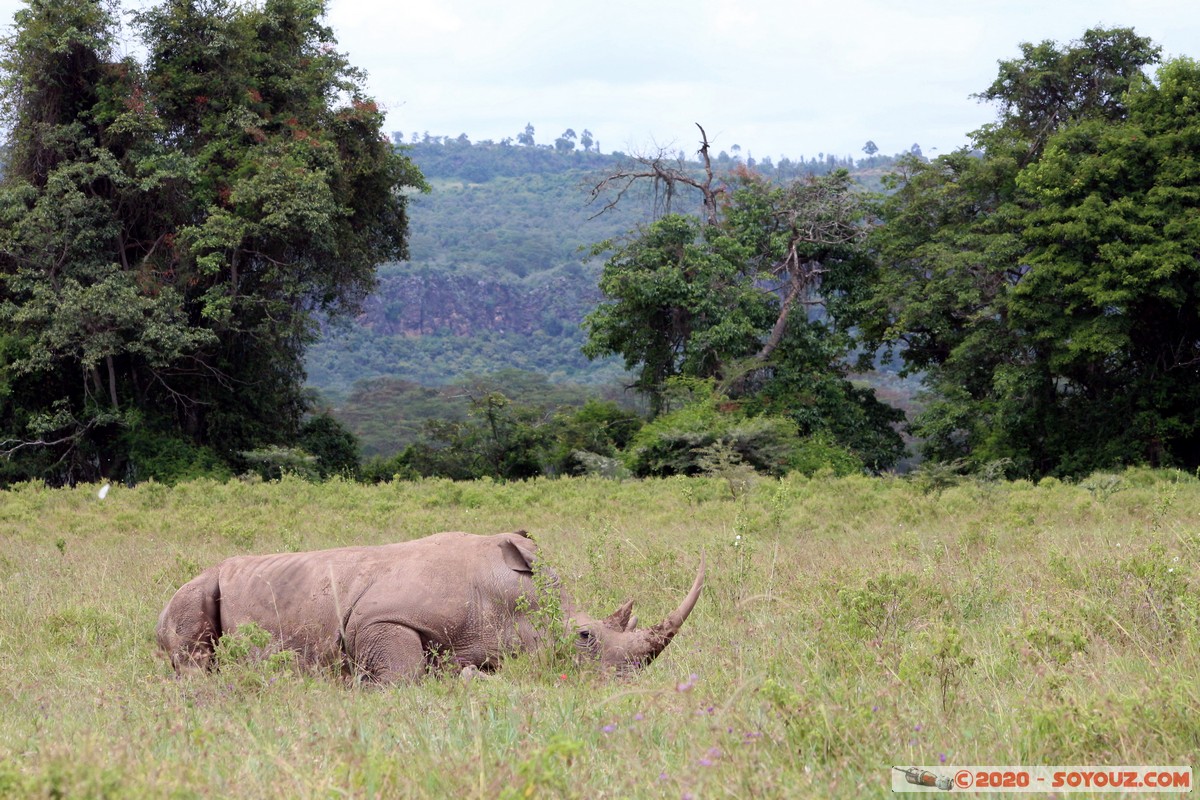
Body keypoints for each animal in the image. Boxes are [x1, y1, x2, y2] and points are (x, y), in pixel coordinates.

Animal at [156, 530, 704, 683]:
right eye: (585, 637)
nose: (627, 681)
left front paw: (470, 677)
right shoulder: (382, 618)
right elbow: (404, 674)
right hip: (195, 586)